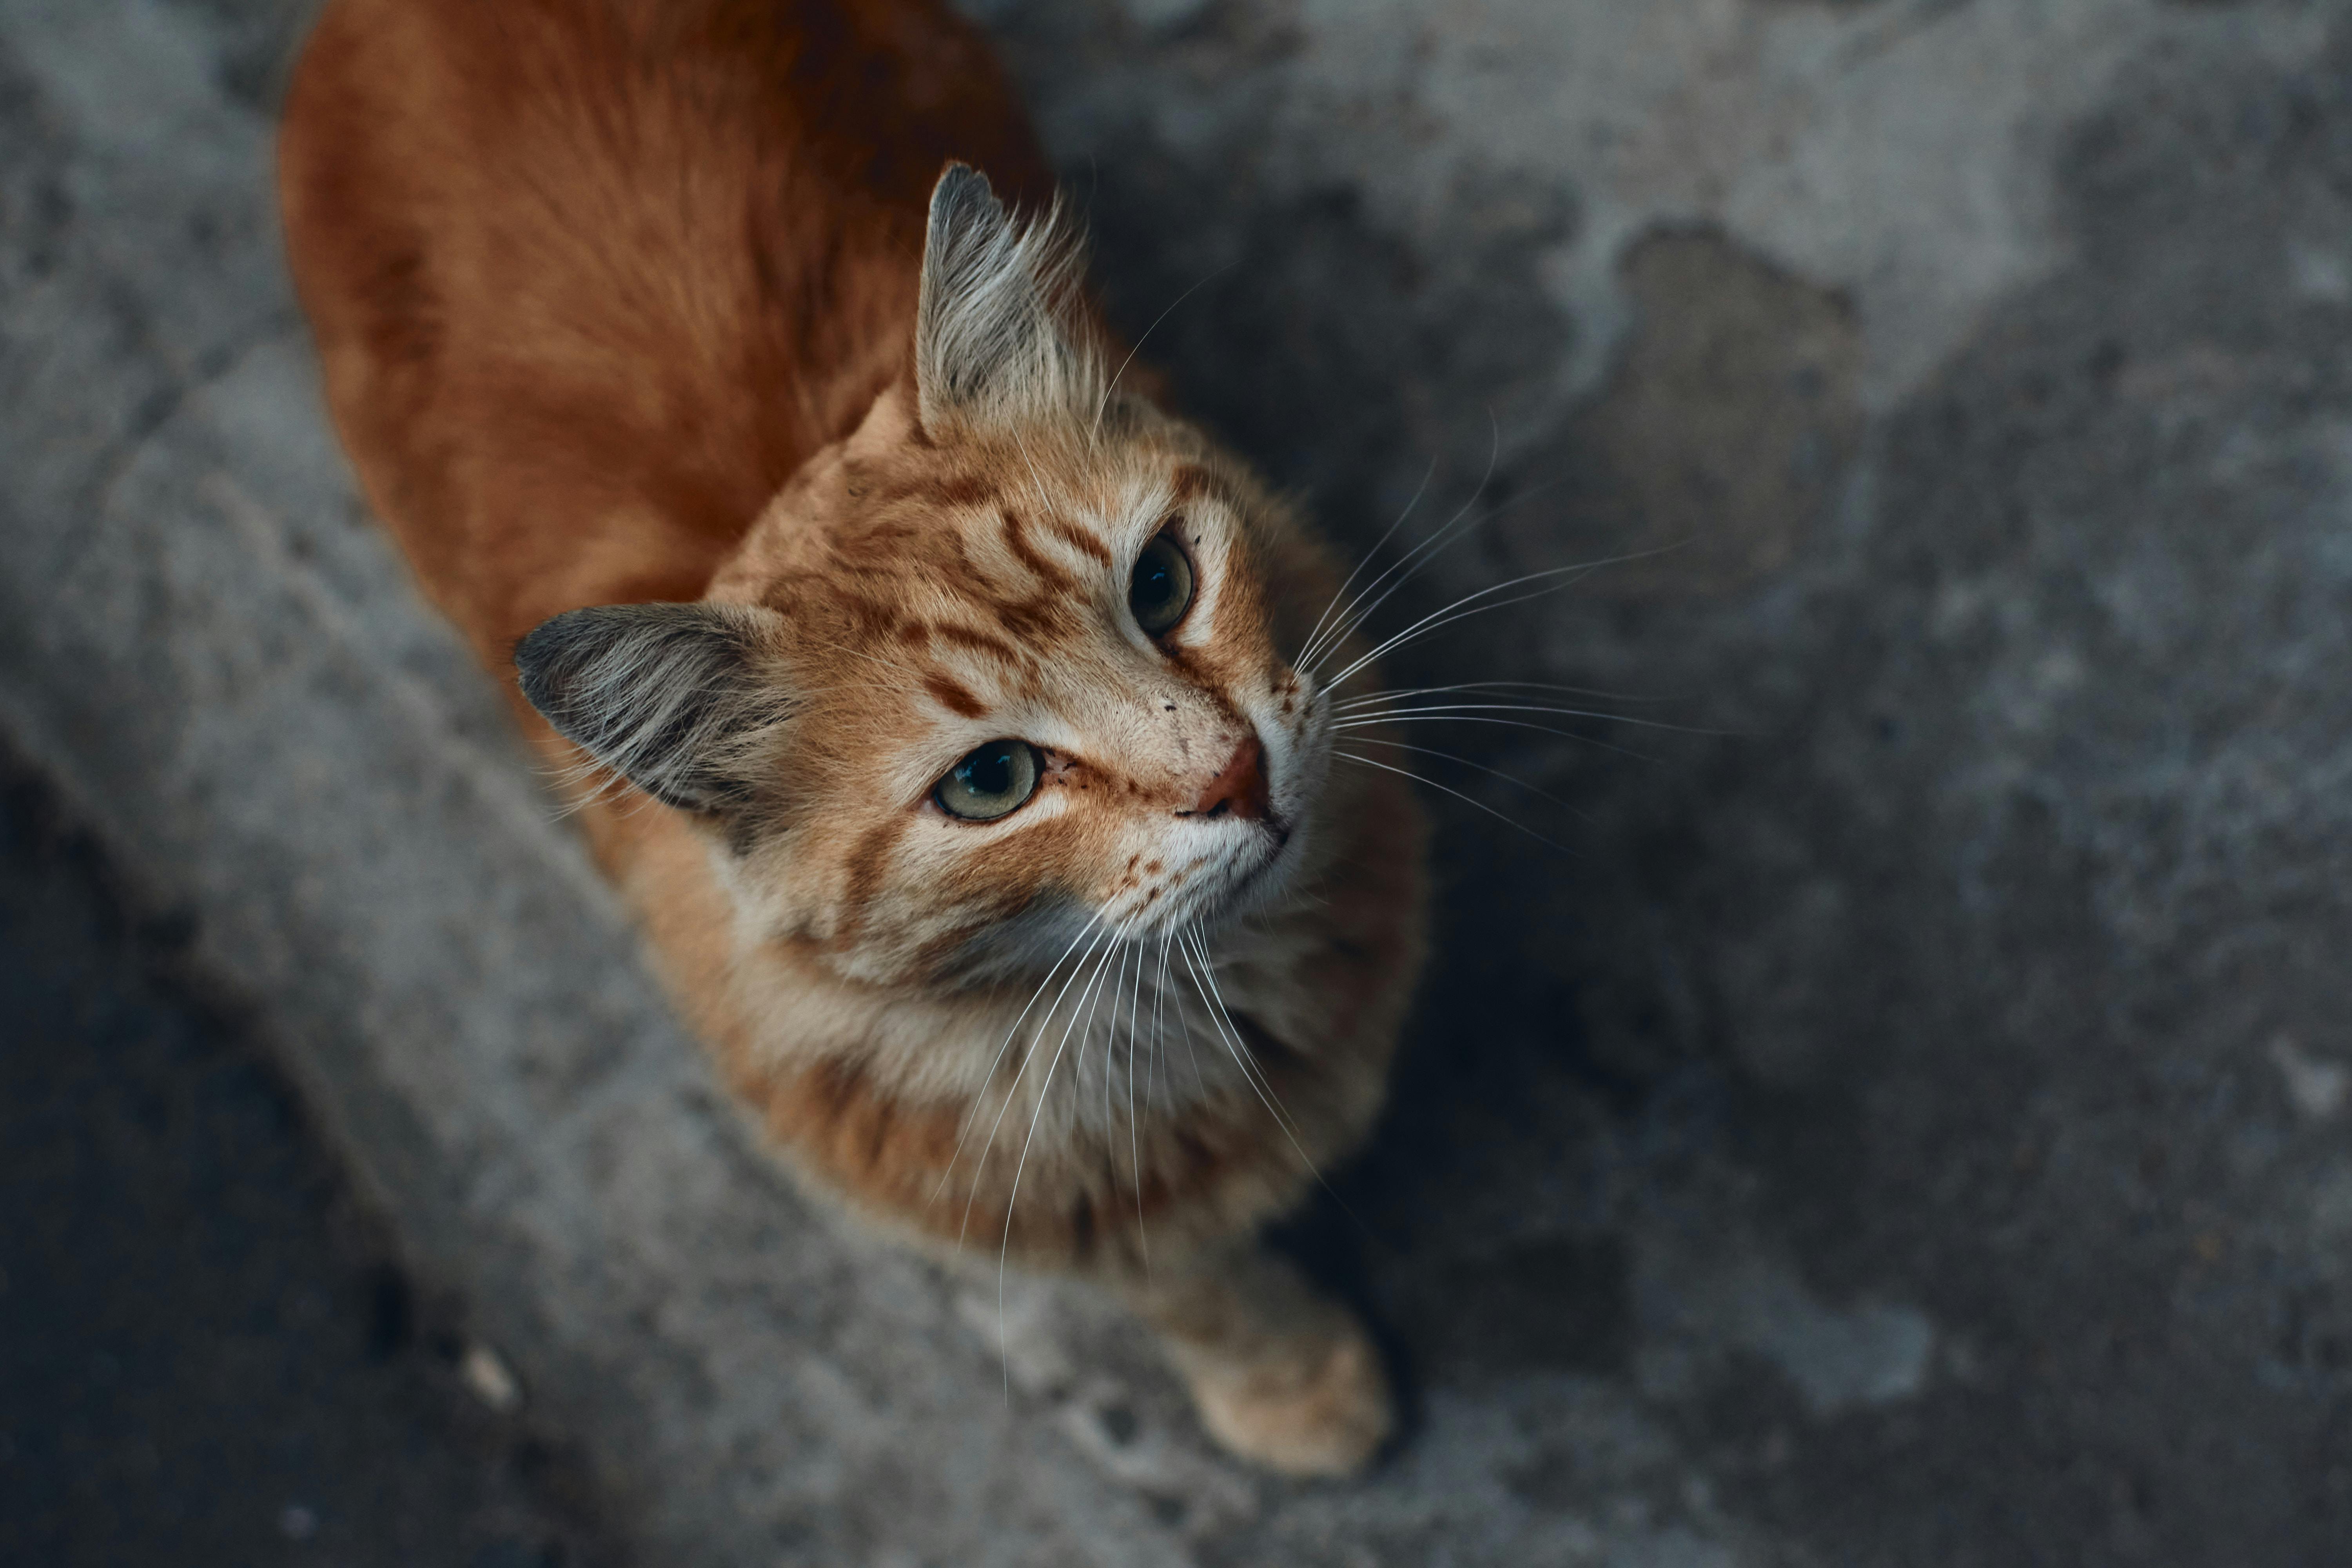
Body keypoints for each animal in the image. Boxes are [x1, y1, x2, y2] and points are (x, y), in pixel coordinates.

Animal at [275, 0, 1411, 1476]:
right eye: (991, 782)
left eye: (1162, 585)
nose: (1234, 773)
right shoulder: (1048, 1207)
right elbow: (1189, 1283)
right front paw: (1291, 1383)